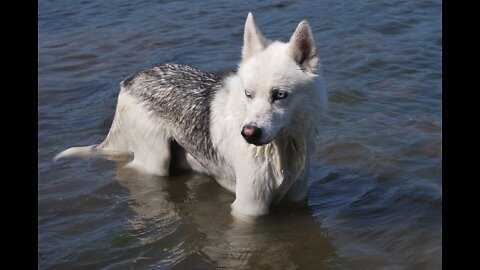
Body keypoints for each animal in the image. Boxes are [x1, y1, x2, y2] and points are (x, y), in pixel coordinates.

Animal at [55, 13, 326, 217]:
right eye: (248, 94)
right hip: (156, 161)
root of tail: (131, 79)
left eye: (279, 95)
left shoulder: (297, 199)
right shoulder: (248, 209)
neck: (283, 148)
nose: (248, 133)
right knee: (132, 167)